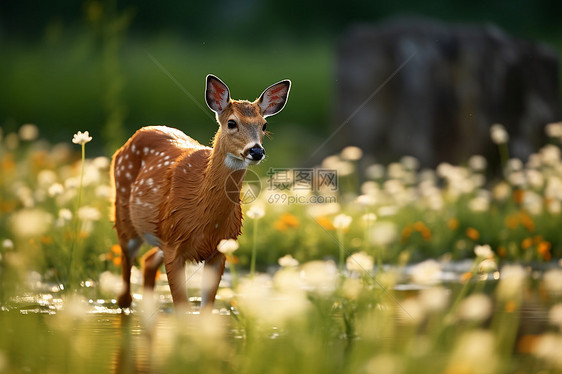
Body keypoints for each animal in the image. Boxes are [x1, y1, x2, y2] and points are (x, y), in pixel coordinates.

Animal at [111, 74, 290, 312]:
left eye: (264, 124)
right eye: (232, 123)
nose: (256, 150)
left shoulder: (219, 249)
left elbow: (206, 310)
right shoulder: (174, 246)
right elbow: (183, 308)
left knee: (147, 262)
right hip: (126, 220)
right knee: (124, 290)